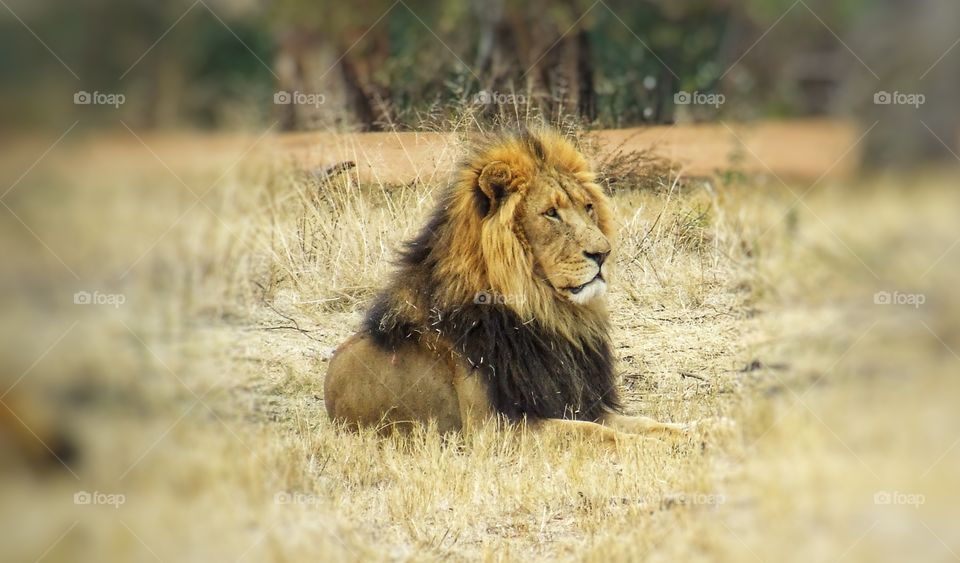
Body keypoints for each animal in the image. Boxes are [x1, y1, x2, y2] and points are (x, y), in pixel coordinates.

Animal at [324, 128, 689, 442]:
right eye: (551, 213)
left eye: (588, 207)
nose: (603, 253)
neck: (547, 313)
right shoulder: (493, 428)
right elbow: (597, 434)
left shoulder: (581, 405)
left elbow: (648, 424)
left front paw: (697, 433)